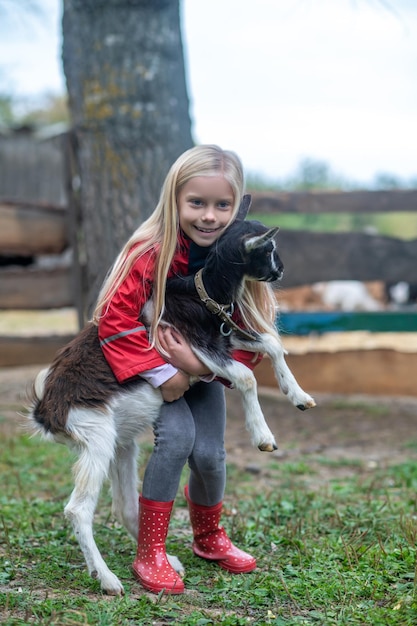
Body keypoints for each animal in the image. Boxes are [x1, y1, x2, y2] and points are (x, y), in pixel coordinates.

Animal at [29, 197, 314, 592]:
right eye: (269, 248)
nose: (281, 270)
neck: (203, 294)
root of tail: (46, 410)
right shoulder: (200, 349)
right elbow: (246, 377)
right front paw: (264, 436)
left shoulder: (222, 339)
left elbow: (271, 344)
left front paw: (299, 396)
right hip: (95, 438)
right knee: (78, 509)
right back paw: (108, 579)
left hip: (120, 444)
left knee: (125, 505)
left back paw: (163, 562)